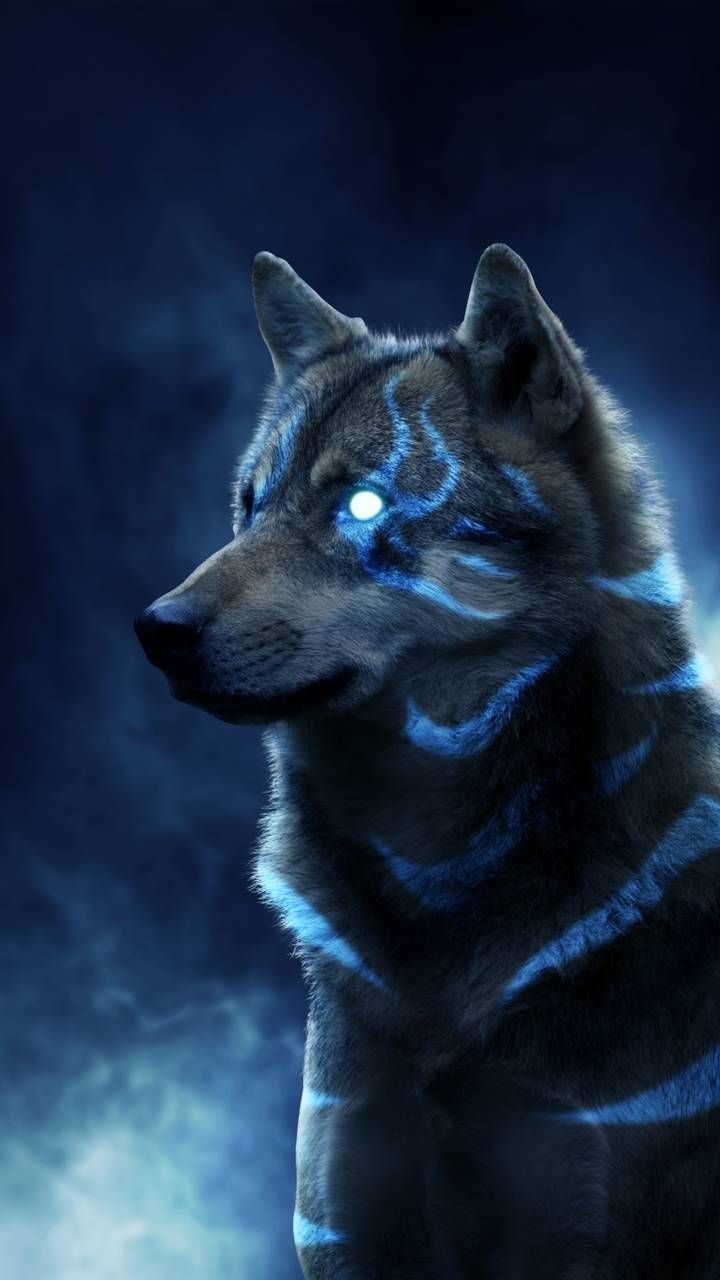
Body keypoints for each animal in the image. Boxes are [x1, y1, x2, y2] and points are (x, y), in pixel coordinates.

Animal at [135, 244, 720, 1278]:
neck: (433, 872)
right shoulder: (348, 1232)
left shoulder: (604, 1245)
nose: (157, 630)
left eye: (362, 502)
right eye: (249, 505)